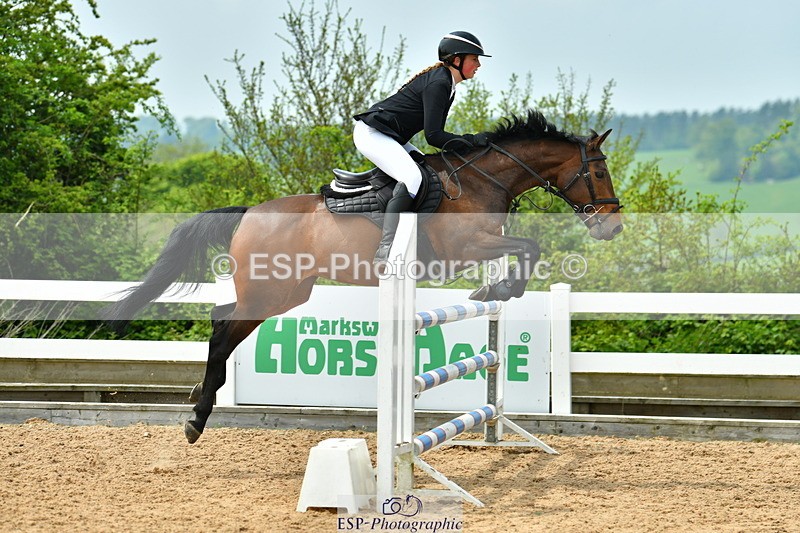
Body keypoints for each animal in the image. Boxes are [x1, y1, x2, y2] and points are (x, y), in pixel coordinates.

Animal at [103, 110, 623, 444]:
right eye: (598, 173)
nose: (613, 227)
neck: (482, 180)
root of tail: (249, 212)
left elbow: (525, 251)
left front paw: (494, 288)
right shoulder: (468, 247)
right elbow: (529, 247)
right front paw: (503, 287)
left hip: (284, 293)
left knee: (223, 319)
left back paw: (198, 399)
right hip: (267, 292)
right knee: (222, 325)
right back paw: (196, 417)